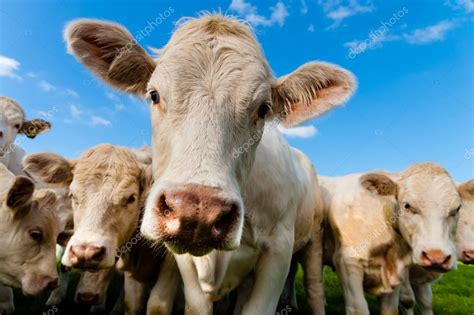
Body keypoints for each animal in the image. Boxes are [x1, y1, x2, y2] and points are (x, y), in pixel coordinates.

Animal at [23, 146, 181, 315]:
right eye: (73, 195)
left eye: (131, 198)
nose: (85, 252)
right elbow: (130, 303)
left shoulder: (172, 261)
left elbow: (157, 306)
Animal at [63, 13, 356, 314]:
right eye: (154, 95)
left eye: (263, 109)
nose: (197, 212)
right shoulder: (182, 262)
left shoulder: (279, 250)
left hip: (312, 240)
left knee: (314, 287)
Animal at [316, 164, 462, 314]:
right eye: (407, 205)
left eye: (457, 209)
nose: (436, 257)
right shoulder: (347, 262)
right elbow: (358, 309)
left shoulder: (397, 273)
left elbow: (393, 309)